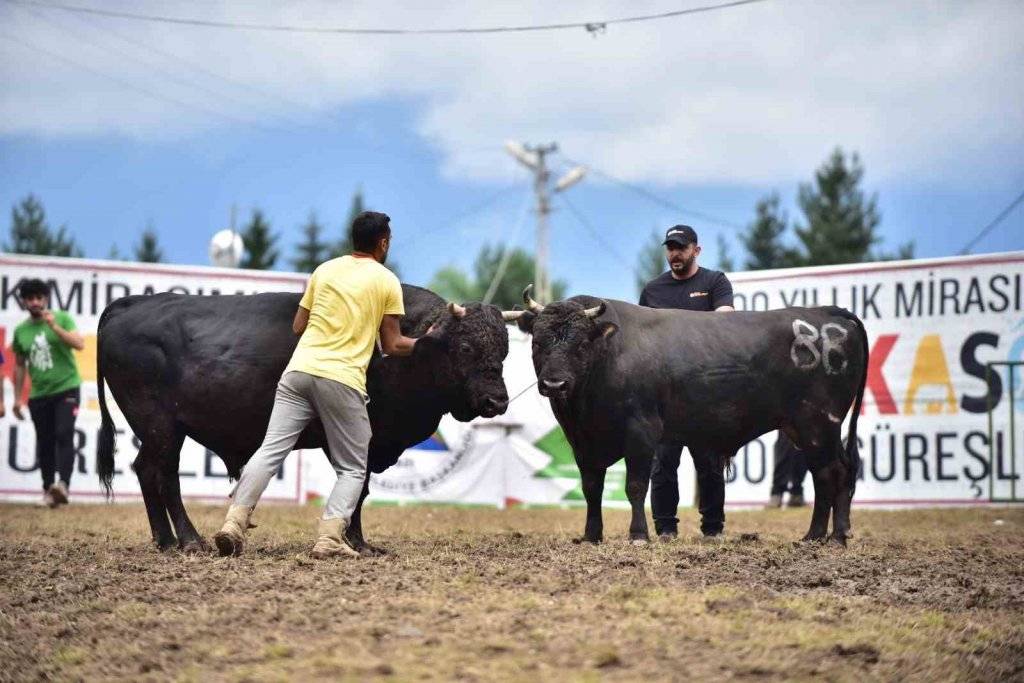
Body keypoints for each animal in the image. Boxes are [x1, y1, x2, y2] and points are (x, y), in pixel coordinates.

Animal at [94, 286, 509, 552]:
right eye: (466, 347)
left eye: (504, 351)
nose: (498, 400)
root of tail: (129, 304)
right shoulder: (361, 437)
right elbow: (358, 489)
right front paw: (356, 541)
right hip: (161, 428)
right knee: (162, 474)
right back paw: (189, 540)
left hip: (159, 432)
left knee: (149, 470)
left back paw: (168, 541)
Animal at [512, 292, 864, 544]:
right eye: (537, 342)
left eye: (582, 343)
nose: (554, 384)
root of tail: (828, 313)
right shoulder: (583, 442)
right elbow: (591, 487)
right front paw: (590, 535)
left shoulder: (641, 432)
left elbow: (635, 485)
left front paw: (638, 535)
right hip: (810, 428)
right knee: (840, 471)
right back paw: (833, 534)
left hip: (817, 423)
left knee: (830, 473)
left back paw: (822, 537)